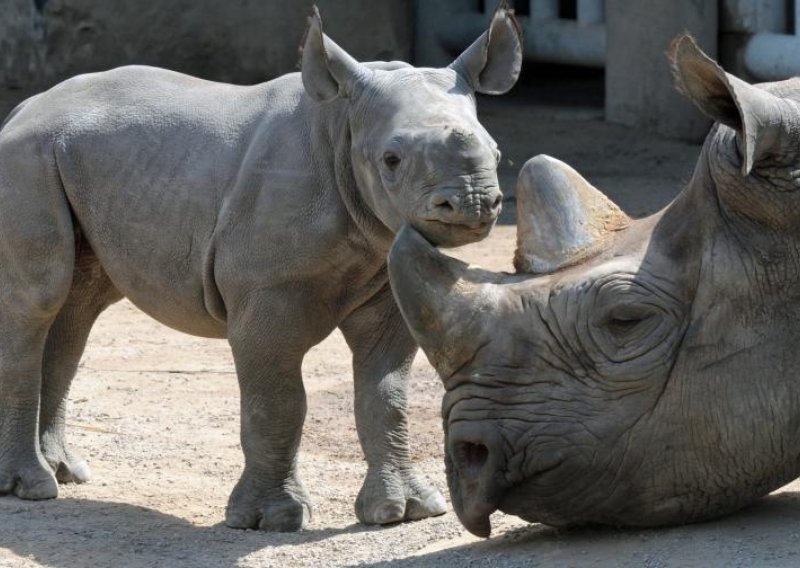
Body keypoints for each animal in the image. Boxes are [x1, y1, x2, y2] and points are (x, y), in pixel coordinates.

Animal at [0, 5, 520, 532]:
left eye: (498, 153)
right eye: (391, 160)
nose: (474, 202)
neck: (342, 125)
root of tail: (23, 108)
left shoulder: (385, 283)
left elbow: (386, 396)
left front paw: (403, 513)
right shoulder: (266, 294)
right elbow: (278, 402)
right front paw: (272, 520)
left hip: (74, 161)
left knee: (78, 307)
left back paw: (65, 472)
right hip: (27, 158)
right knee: (37, 300)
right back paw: (32, 488)